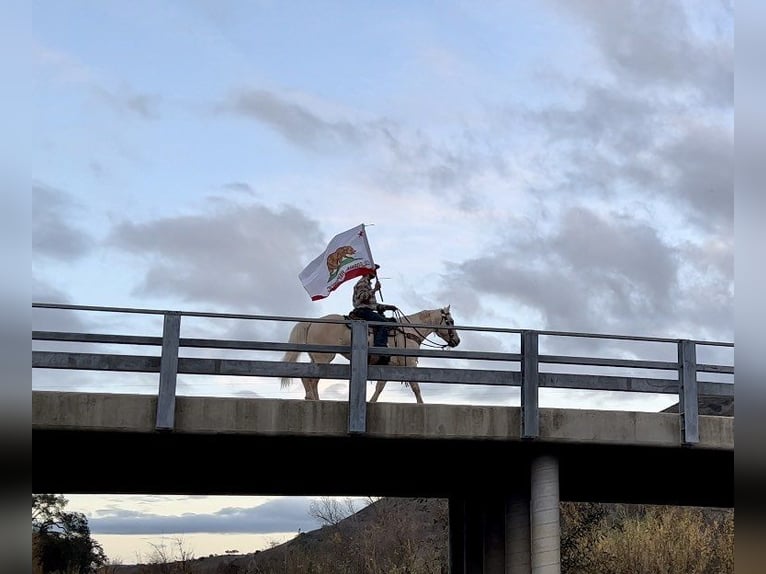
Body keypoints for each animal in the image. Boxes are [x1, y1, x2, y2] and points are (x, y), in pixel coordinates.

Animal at [282, 306, 462, 404]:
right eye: (450, 321)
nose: (457, 341)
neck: (408, 331)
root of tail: (313, 322)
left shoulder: (388, 366)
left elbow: (380, 387)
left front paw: (372, 402)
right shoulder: (410, 364)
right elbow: (415, 387)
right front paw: (421, 404)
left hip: (316, 358)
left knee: (309, 379)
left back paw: (311, 398)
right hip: (323, 358)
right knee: (311, 380)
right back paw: (313, 399)